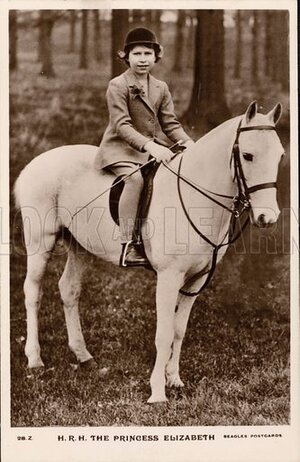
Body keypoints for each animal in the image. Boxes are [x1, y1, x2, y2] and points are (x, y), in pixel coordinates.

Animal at [15, 100, 284, 400]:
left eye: (280, 156)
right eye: (248, 156)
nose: (267, 217)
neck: (196, 195)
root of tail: (36, 162)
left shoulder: (196, 280)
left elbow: (179, 330)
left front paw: (174, 379)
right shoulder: (168, 277)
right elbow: (164, 334)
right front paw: (157, 392)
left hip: (80, 245)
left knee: (69, 289)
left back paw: (84, 356)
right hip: (40, 241)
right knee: (33, 292)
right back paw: (35, 359)